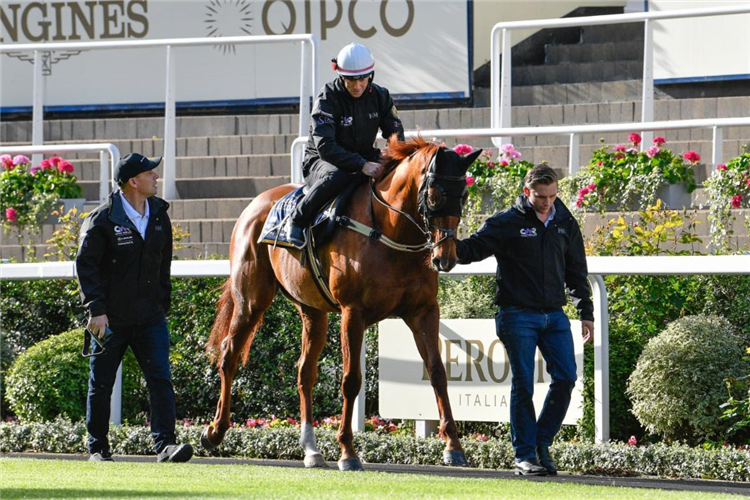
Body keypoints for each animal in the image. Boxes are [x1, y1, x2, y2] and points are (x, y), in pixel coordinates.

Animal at [201, 136, 482, 468]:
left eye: (464, 195)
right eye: (435, 197)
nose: (445, 258)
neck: (388, 230)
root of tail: (255, 204)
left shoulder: (423, 311)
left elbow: (437, 371)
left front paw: (453, 445)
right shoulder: (353, 312)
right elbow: (351, 379)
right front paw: (348, 451)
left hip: (312, 311)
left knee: (305, 371)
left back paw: (311, 448)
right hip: (251, 299)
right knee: (229, 352)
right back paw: (215, 431)